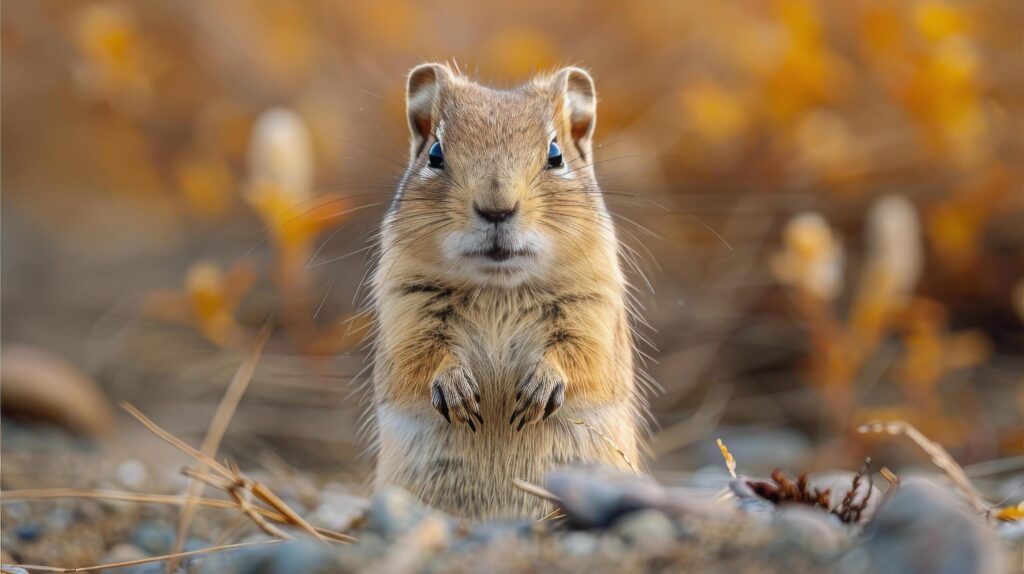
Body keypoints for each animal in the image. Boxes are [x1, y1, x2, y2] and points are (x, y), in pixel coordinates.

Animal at [370, 62, 647, 519]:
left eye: (555, 155)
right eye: (435, 154)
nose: (496, 209)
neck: (498, 284)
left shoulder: (593, 309)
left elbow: (580, 356)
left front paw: (539, 390)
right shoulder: (405, 309)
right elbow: (420, 358)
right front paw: (457, 390)